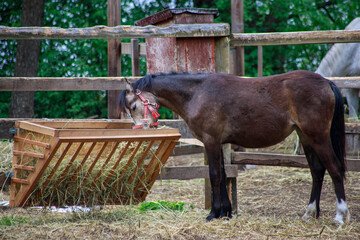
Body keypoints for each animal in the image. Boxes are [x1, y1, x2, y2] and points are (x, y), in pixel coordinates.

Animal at [116, 70, 350, 225]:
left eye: (134, 106)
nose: (141, 130)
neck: (197, 93)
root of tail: (326, 82)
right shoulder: (218, 142)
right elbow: (222, 173)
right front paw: (226, 212)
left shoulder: (210, 140)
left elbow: (214, 175)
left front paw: (214, 213)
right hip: (306, 138)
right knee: (317, 172)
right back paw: (309, 213)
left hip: (318, 137)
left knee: (335, 169)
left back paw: (340, 215)